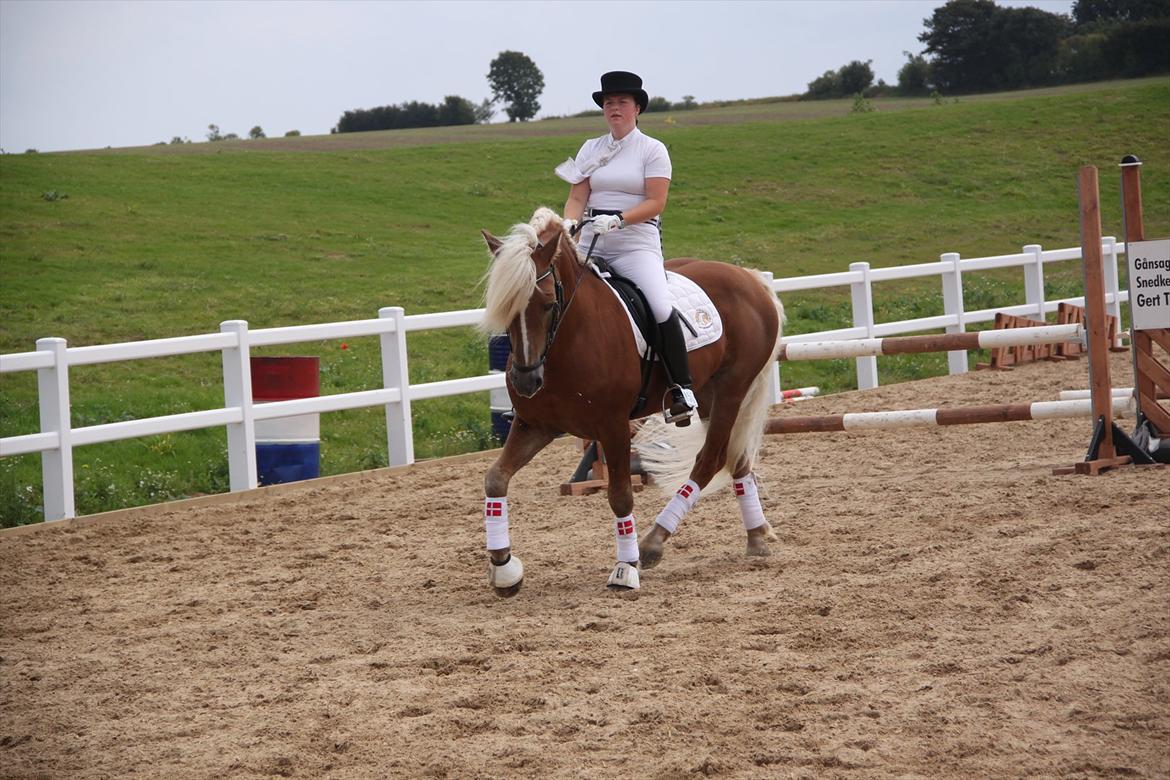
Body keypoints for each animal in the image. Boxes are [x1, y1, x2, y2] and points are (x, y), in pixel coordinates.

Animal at [479, 204, 781, 594]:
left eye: (546, 304)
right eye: (505, 307)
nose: (525, 380)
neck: (569, 339)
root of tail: (749, 278)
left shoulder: (614, 427)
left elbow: (620, 495)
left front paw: (625, 567)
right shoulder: (536, 425)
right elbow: (496, 478)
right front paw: (503, 567)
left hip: (732, 389)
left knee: (710, 460)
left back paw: (653, 542)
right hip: (709, 395)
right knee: (737, 458)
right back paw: (756, 535)